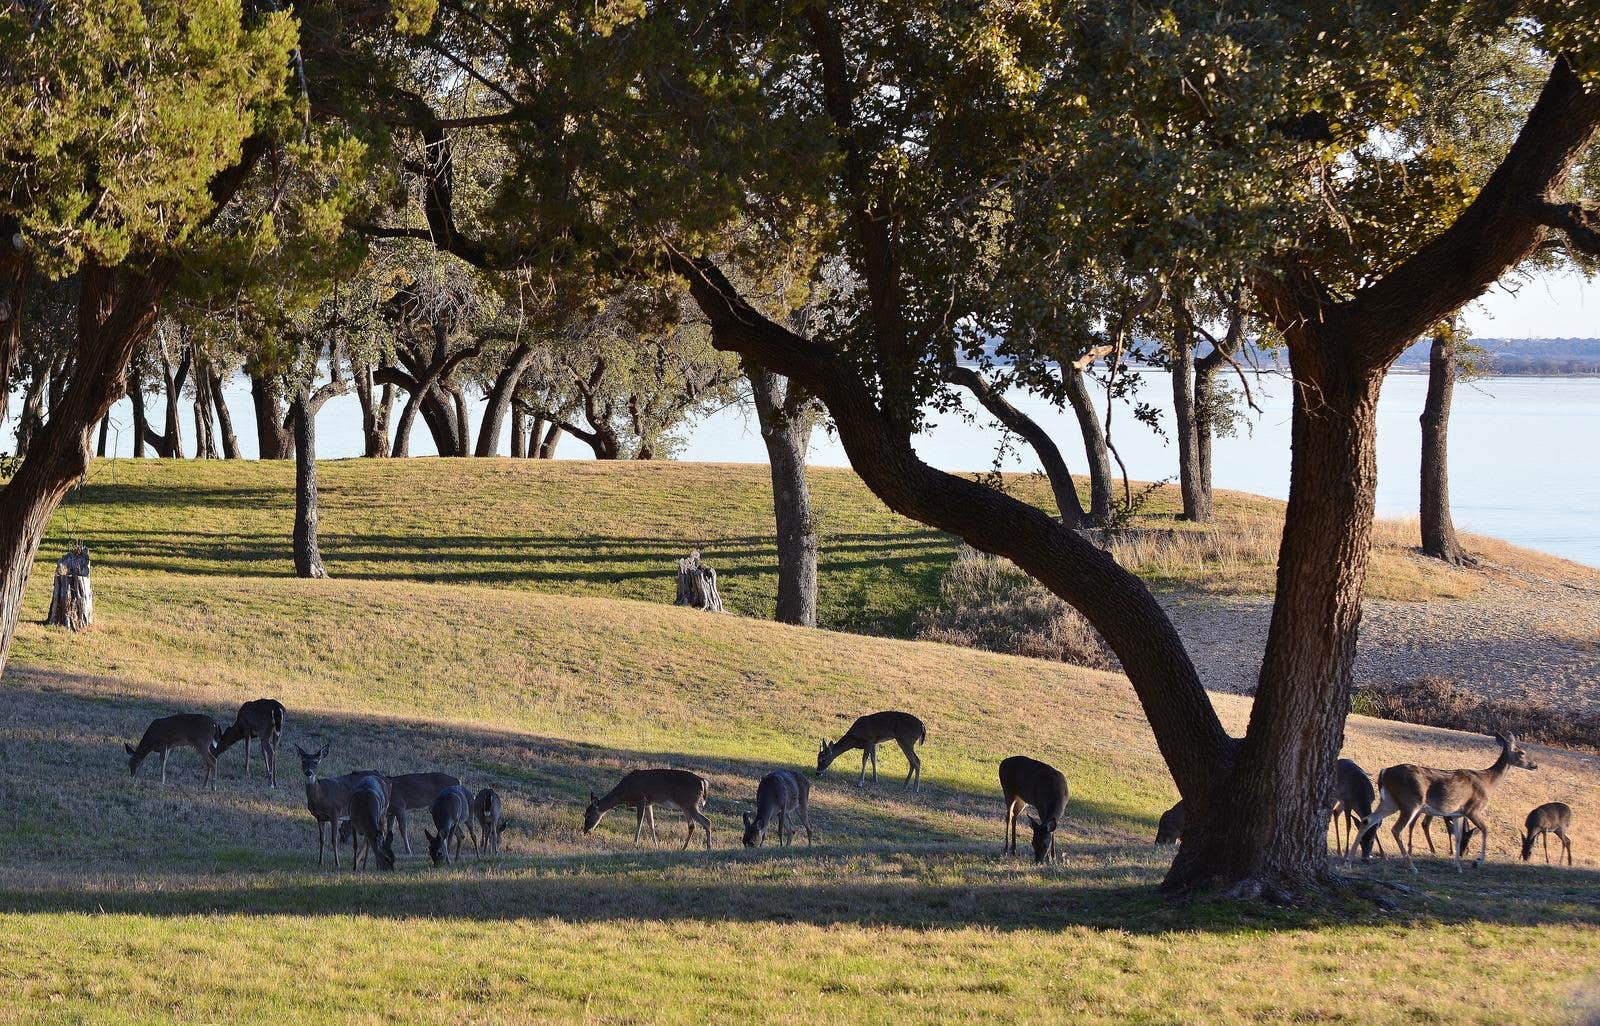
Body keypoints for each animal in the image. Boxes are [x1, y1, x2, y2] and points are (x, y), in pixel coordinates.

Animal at [1350, 729, 1536, 870]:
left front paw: (1458, 866)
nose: (1534, 765)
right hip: (1411, 802)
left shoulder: (1458, 813)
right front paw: (1477, 862)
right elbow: (1485, 829)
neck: (1487, 781)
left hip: (1390, 802)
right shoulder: (1473, 808)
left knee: (1367, 820)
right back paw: (1412, 866)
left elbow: (1458, 837)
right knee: (1396, 829)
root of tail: (1384, 772)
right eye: (1522, 752)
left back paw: (1348, 860)